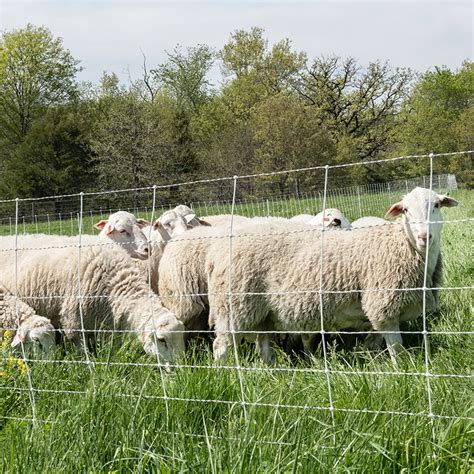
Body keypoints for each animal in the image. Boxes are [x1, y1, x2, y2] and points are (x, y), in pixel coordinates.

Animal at [206, 187, 458, 362]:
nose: (424, 236)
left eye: (436, 205)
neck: (403, 245)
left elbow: (375, 340)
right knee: (221, 347)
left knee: (263, 345)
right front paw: (401, 371)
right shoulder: (383, 305)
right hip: (235, 306)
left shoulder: (381, 311)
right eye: (405, 210)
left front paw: (369, 354)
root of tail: (216, 252)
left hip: (262, 312)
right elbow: (396, 349)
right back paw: (225, 375)